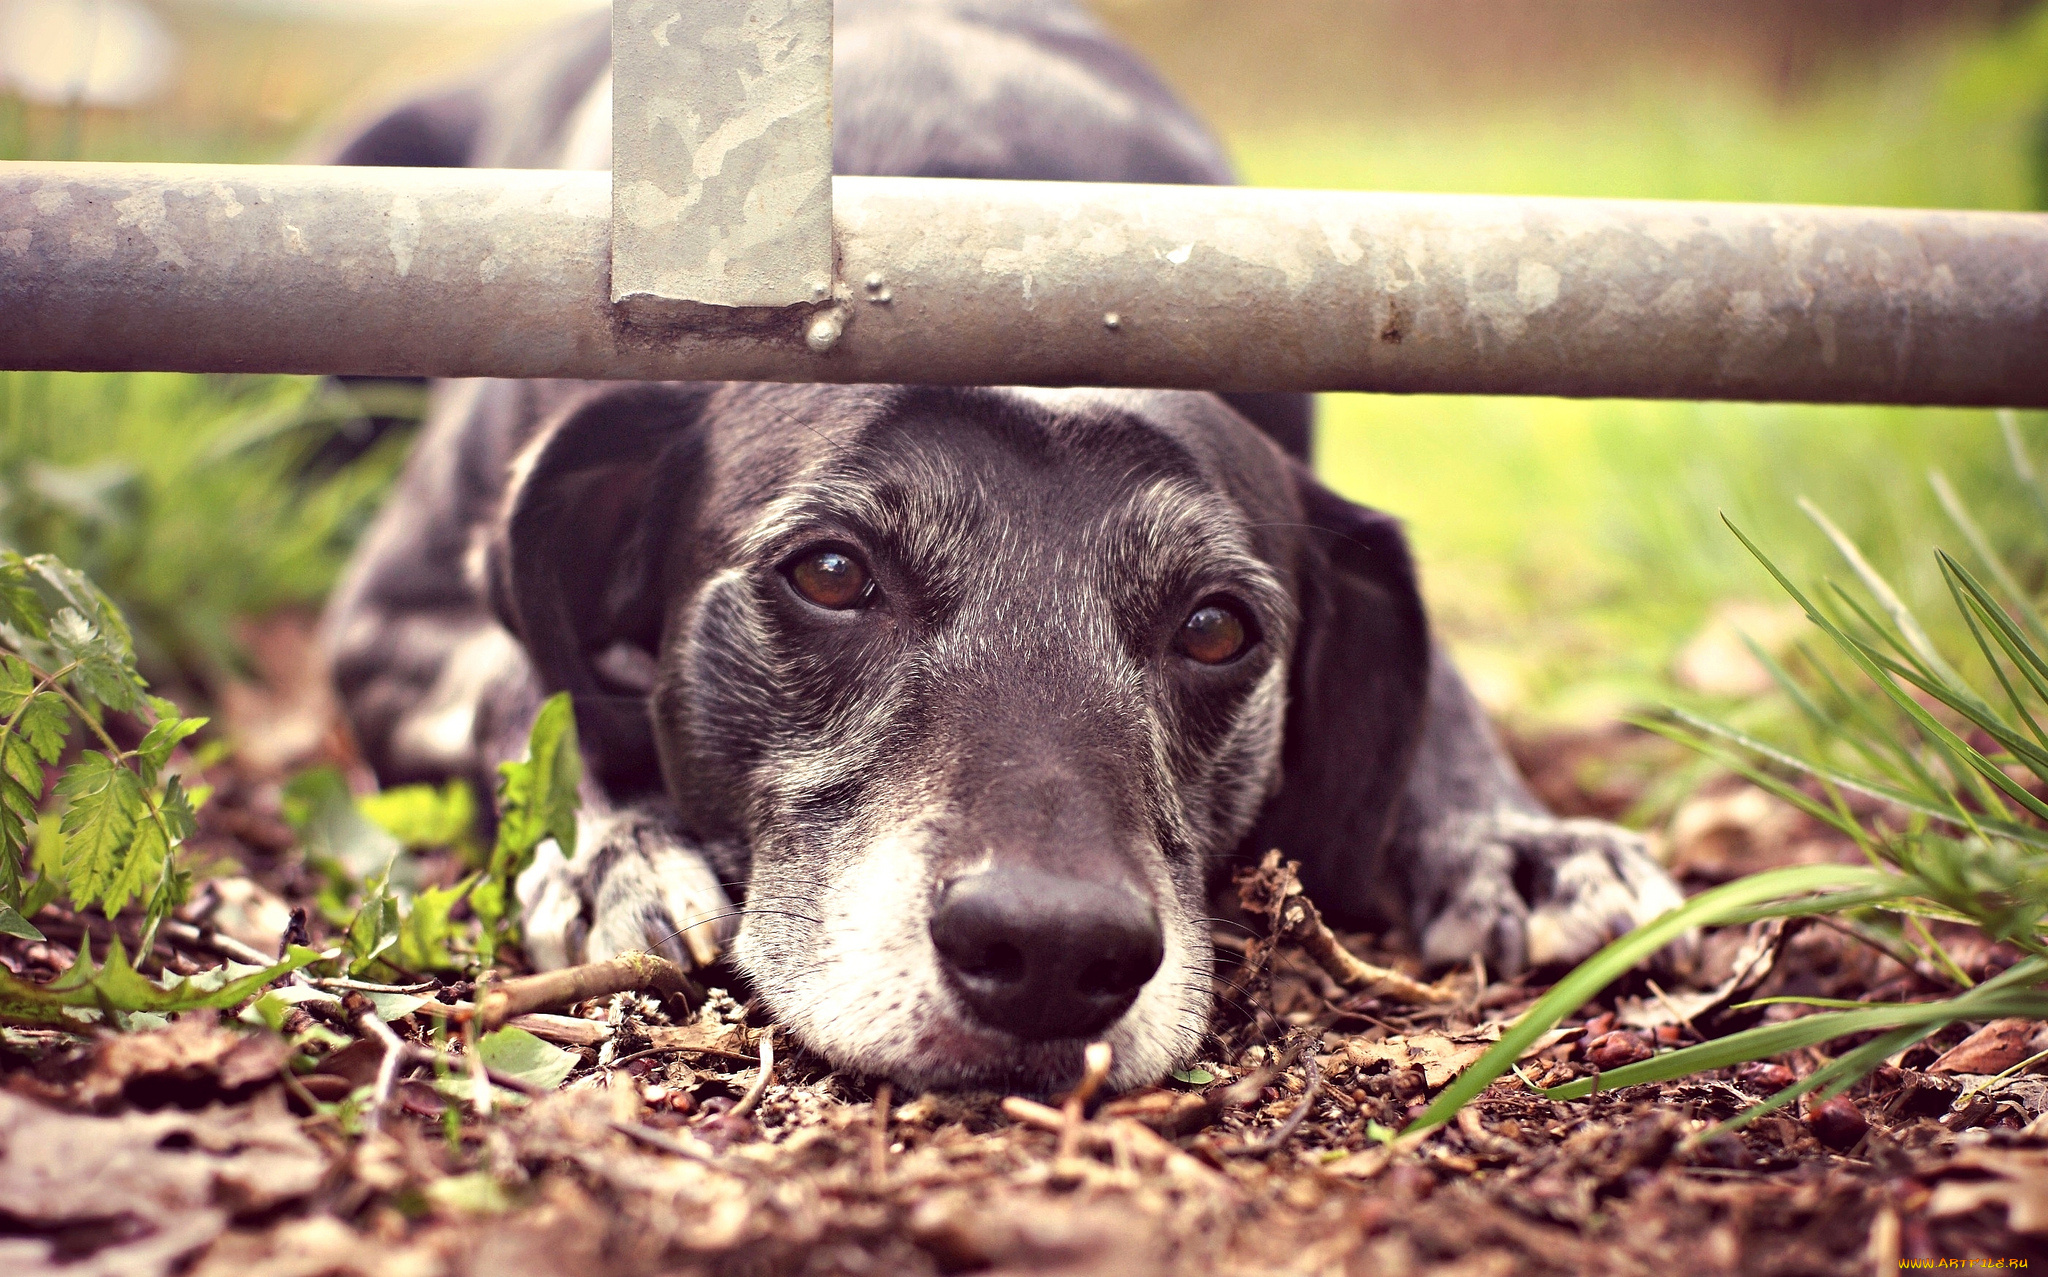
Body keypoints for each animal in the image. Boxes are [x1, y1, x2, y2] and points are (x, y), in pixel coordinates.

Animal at [327, 2, 1687, 1096]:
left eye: (1215, 625)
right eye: (830, 572)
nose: (1049, 951)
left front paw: (1513, 834)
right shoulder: (393, 624)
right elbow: (526, 685)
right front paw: (615, 847)